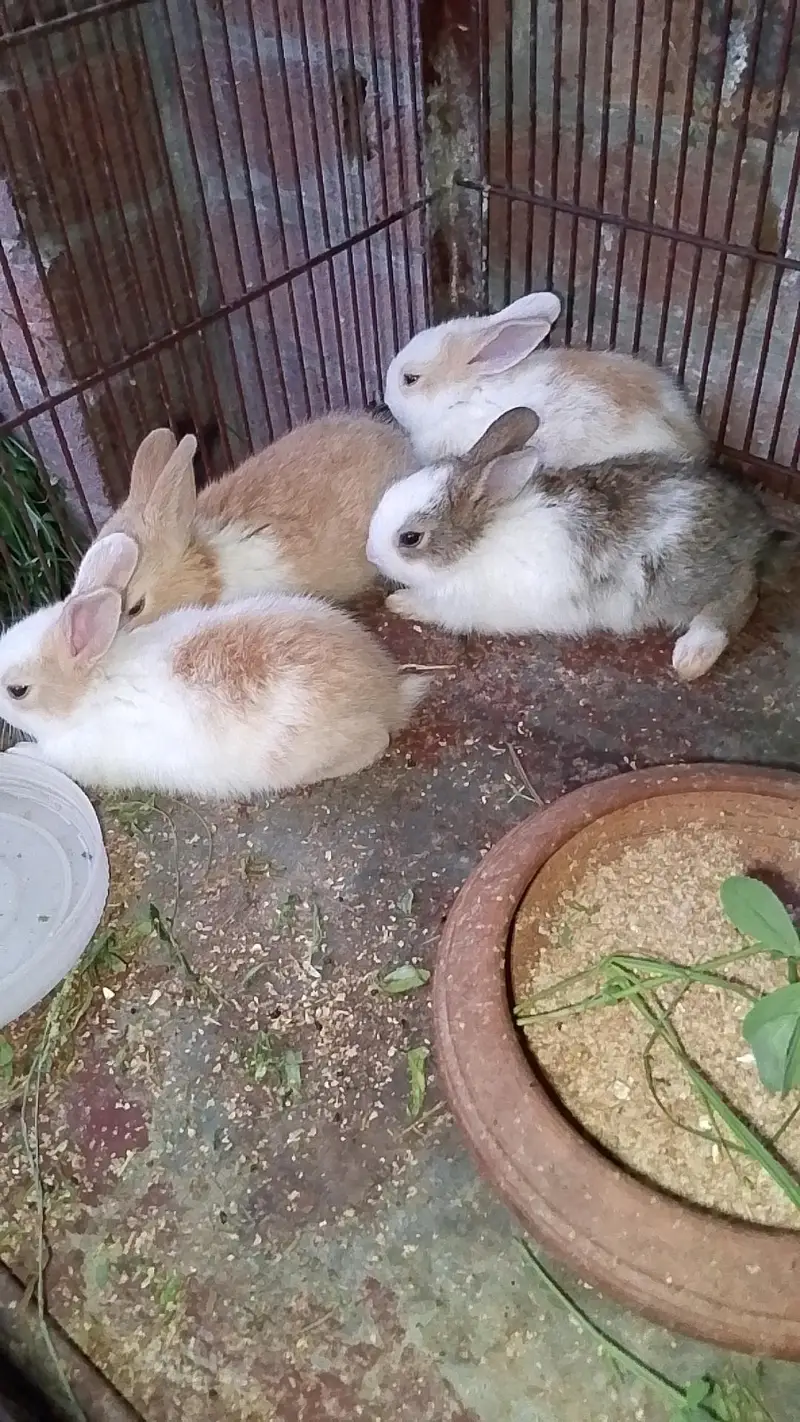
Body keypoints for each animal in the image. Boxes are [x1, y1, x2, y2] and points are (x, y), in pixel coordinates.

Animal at [366, 407, 784, 682]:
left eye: (410, 538)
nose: (371, 554)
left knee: (741, 595)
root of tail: (753, 524)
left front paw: (399, 603)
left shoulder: (460, 606)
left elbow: (429, 607)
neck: (477, 542)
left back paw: (693, 656)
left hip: (681, 580)